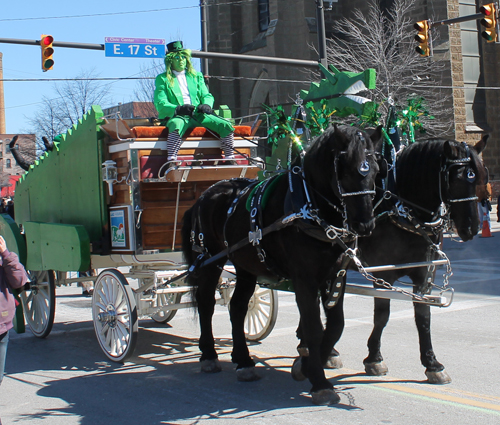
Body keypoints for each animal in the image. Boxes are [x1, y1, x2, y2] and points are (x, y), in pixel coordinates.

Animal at [184, 123, 382, 404]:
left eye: (375, 169)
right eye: (344, 170)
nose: (365, 225)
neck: (311, 207)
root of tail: (205, 194)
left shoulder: (336, 276)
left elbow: (336, 325)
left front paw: (307, 365)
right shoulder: (305, 280)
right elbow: (313, 327)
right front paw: (319, 381)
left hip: (245, 267)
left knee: (237, 308)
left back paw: (243, 361)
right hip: (211, 260)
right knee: (206, 304)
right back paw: (209, 355)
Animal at [296, 136, 488, 384]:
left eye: (480, 177)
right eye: (454, 179)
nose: (471, 228)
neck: (406, 215)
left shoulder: (425, 274)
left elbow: (423, 316)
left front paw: (432, 363)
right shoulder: (383, 275)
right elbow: (382, 316)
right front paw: (374, 358)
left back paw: (324, 350)